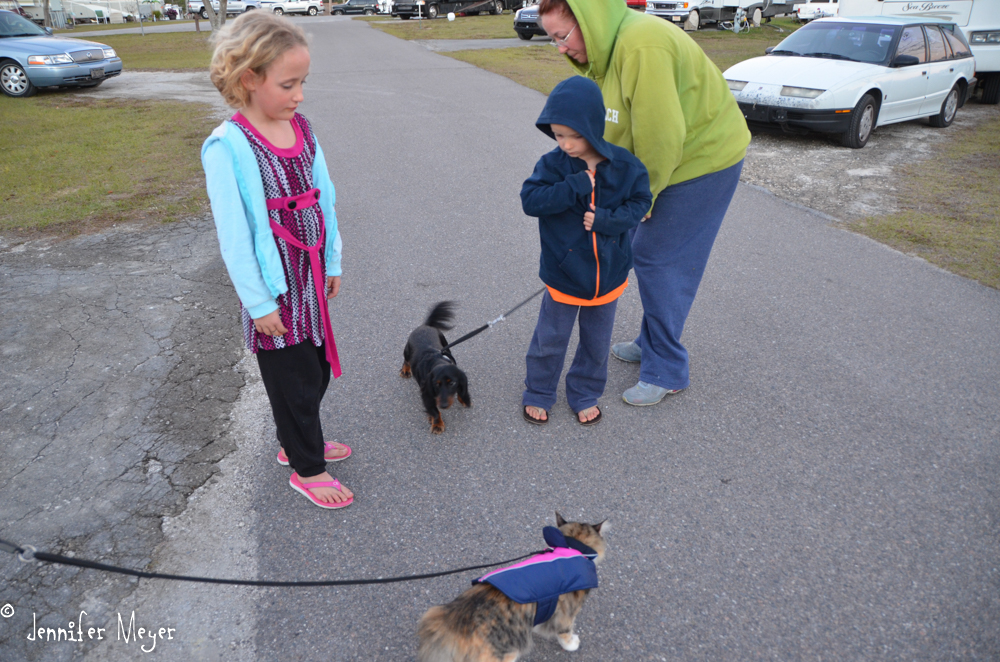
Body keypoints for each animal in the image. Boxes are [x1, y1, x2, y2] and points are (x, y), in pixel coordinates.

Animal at [400, 302, 470, 436]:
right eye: (436, 384)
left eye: (452, 383)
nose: (443, 405)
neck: (437, 360)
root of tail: (425, 325)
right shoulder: (426, 392)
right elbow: (435, 411)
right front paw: (437, 424)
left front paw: (464, 399)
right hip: (407, 350)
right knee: (406, 360)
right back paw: (405, 370)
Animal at [416, 512, 608, 662]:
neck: (572, 548)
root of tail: (451, 622)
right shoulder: (566, 613)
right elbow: (565, 633)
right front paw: (572, 644)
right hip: (505, 655)